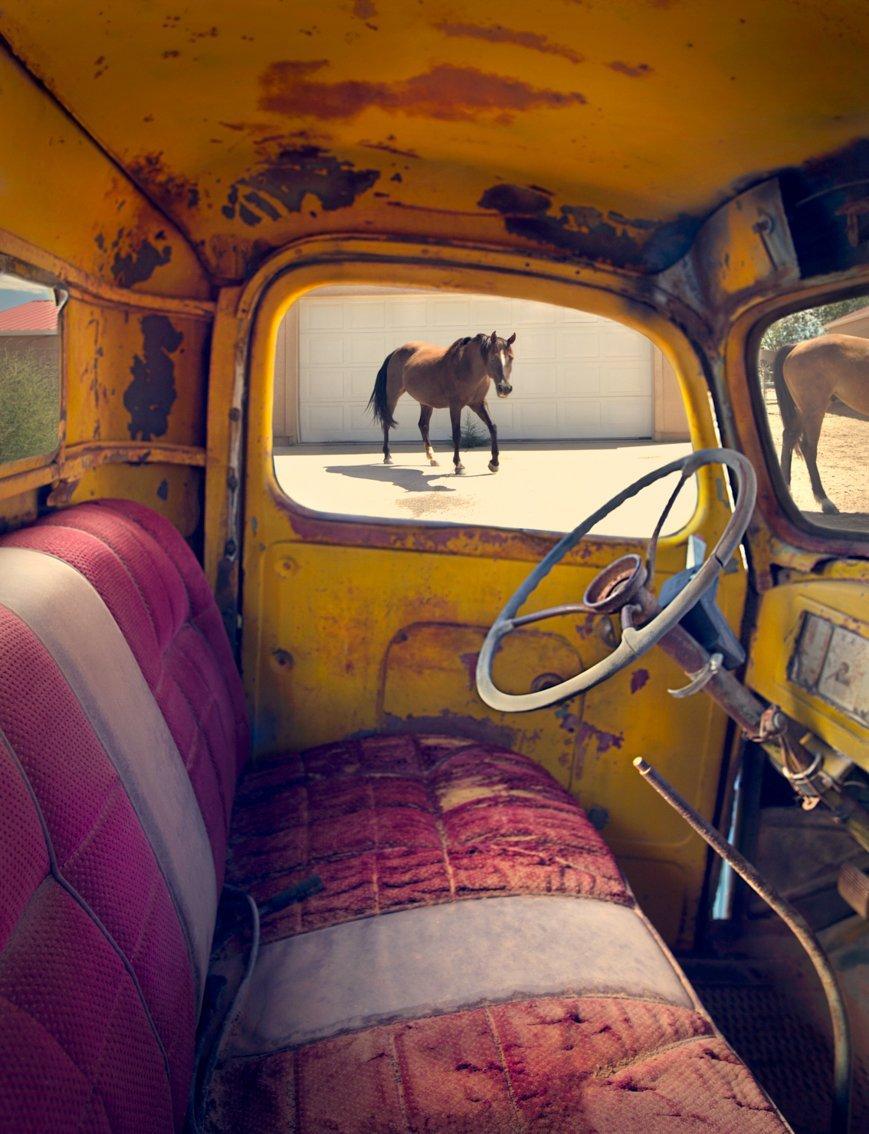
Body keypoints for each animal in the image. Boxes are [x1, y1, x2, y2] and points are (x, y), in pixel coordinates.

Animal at [369, 331, 517, 471]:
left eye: (511, 357)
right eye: (492, 357)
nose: (504, 388)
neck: (466, 367)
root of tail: (396, 351)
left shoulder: (478, 404)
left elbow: (493, 427)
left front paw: (494, 463)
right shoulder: (455, 406)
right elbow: (456, 433)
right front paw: (458, 465)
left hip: (426, 402)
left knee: (423, 425)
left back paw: (432, 458)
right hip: (392, 396)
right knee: (387, 423)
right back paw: (387, 456)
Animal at [775, 331, 869, 514]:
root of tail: (797, 346)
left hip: (802, 411)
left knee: (789, 437)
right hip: (814, 411)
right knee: (808, 448)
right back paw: (825, 501)